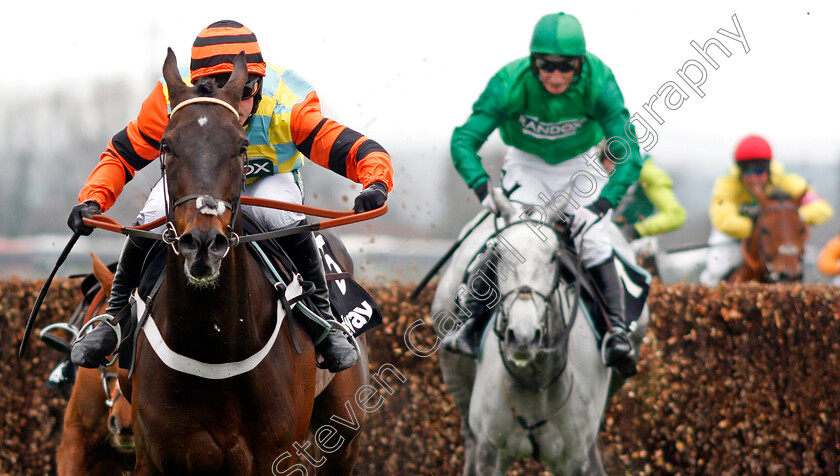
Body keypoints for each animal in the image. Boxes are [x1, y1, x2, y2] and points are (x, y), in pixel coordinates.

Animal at [120, 49, 368, 476]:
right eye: (166, 145)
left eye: (239, 147)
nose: (203, 242)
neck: (215, 347)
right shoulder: (154, 457)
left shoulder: (275, 456)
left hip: (344, 435)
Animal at [430, 192, 652, 474]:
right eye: (498, 252)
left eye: (553, 255)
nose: (522, 336)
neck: (536, 381)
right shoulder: (489, 451)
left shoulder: (572, 459)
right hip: (456, 382)